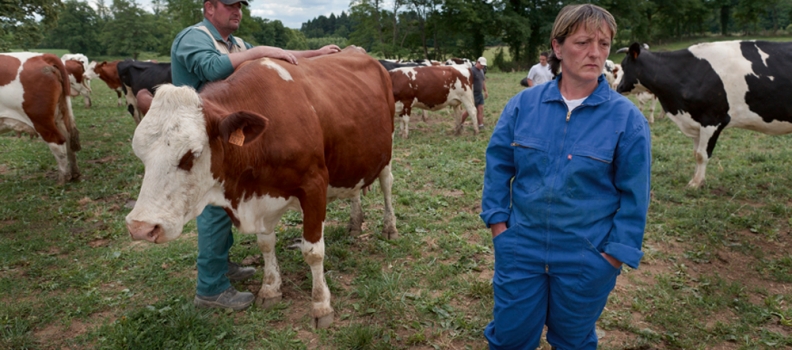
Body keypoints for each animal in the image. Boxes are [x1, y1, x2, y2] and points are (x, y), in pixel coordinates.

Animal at [0, 52, 81, 183]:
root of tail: (42, 56)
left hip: (41, 120)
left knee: (58, 142)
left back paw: (62, 179)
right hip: (59, 116)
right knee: (69, 141)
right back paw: (74, 174)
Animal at [127, 46, 400, 328]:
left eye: (191, 154)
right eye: (140, 153)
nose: (140, 228)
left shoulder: (314, 185)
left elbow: (313, 251)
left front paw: (321, 305)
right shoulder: (261, 196)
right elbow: (266, 244)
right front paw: (270, 289)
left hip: (387, 147)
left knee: (387, 184)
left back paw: (390, 227)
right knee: (355, 188)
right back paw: (355, 223)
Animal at [616, 40, 792, 189]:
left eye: (624, 65)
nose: (617, 87)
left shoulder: (713, 120)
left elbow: (702, 155)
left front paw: (696, 183)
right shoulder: (696, 121)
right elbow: (695, 153)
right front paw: (697, 179)